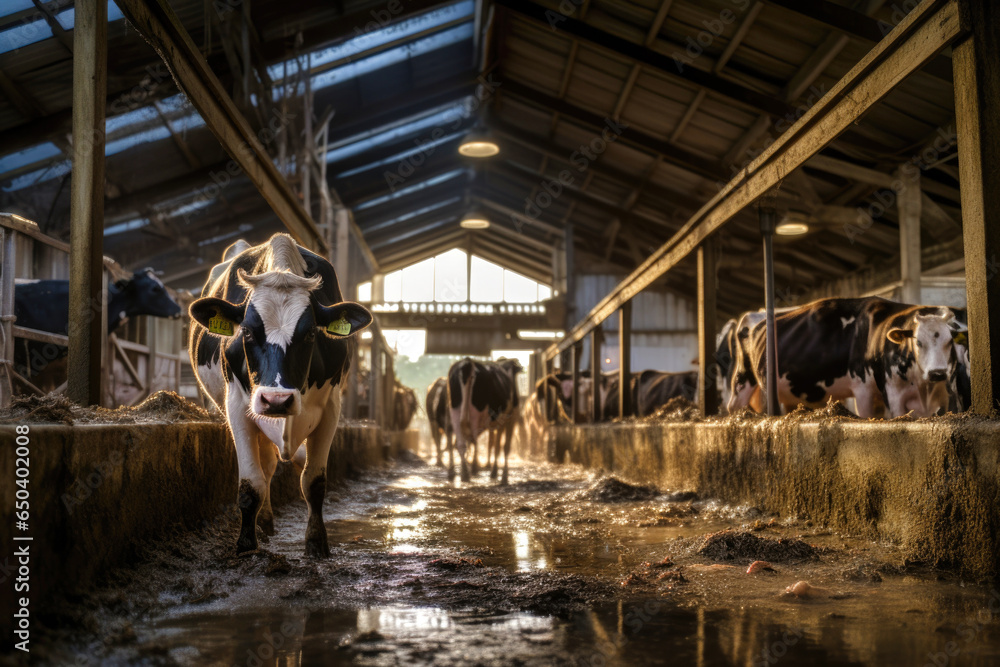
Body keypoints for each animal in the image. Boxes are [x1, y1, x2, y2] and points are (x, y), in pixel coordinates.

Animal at [189, 235, 374, 560]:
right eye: (247, 332)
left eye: (311, 333)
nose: (276, 401)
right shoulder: (237, 407)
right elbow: (250, 485)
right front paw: (246, 545)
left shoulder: (331, 409)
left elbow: (314, 482)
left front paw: (317, 543)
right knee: (265, 470)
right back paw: (263, 523)